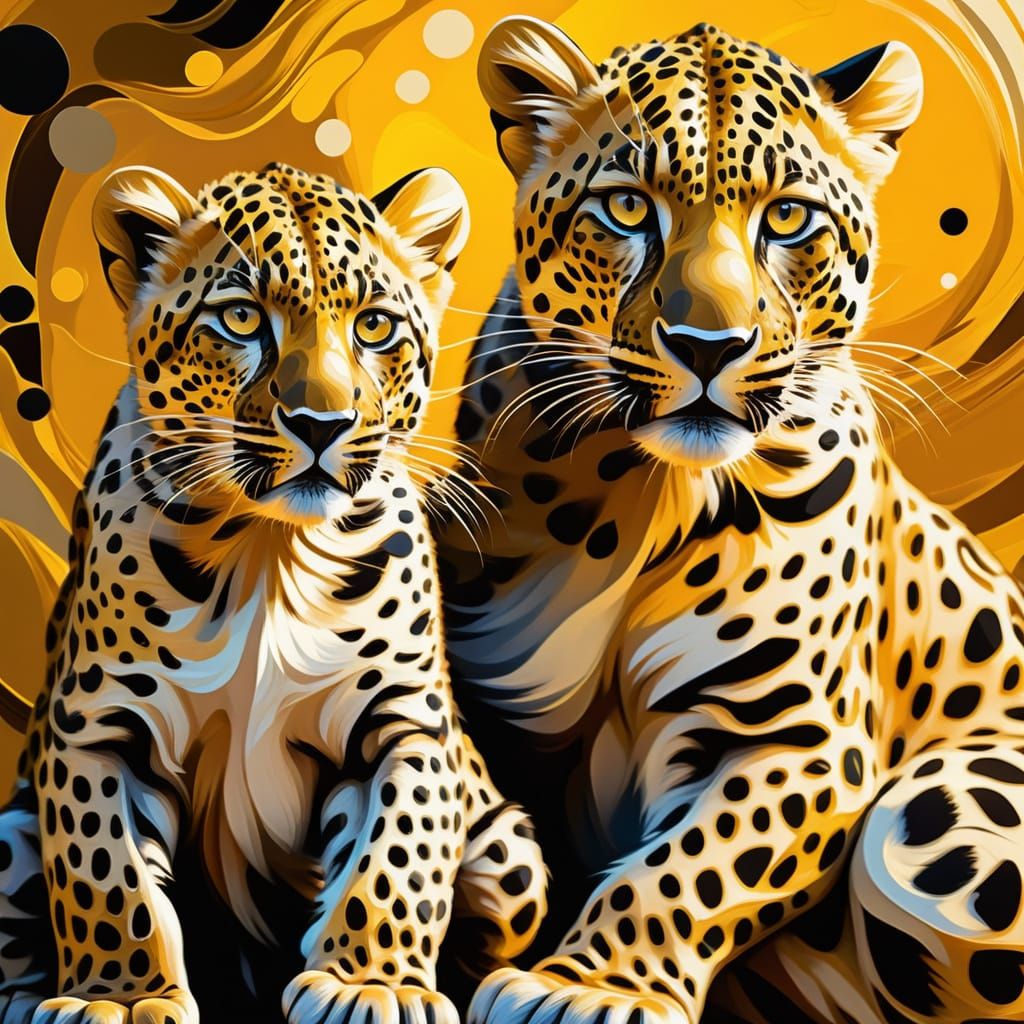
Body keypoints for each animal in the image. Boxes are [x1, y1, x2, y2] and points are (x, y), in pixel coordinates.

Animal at [0, 160, 547, 1024]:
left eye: (375, 327)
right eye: (240, 318)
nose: (321, 423)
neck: (270, 552)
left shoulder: (407, 723)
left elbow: (399, 858)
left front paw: (372, 984)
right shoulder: (95, 728)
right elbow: (106, 878)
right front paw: (119, 998)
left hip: (507, 849)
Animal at [437, 16, 1024, 1024]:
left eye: (787, 218)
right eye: (626, 208)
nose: (708, 346)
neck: (636, 506)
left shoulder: (800, 739)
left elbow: (688, 868)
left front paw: (586, 987)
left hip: (941, 836)